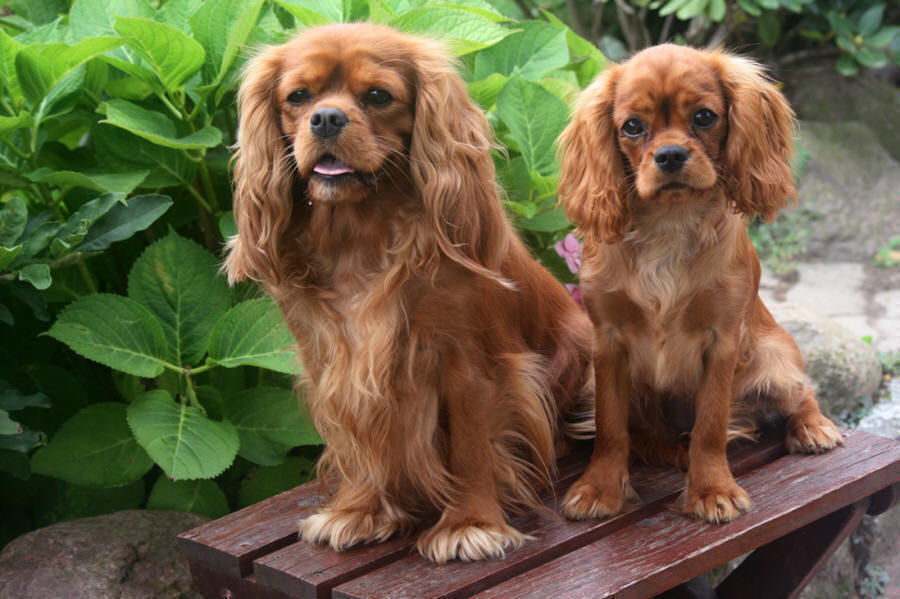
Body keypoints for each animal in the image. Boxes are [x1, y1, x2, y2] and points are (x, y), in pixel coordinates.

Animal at [224, 23, 593, 562]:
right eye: (298, 97)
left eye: (378, 96)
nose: (326, 118)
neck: (359, 237)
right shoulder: (336, 365)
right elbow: (359, 444)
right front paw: (359, 510)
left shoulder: (468, 363)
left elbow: (471, 448)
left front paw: (470, 524)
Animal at [556, 44, 843, 524]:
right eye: (632, 127)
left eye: (705, 117)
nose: (670, 154)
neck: (669, 223)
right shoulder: (607, 345)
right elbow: (611, 428)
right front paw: (600, 487)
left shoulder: (721, 342)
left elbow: (710, 424)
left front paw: (712, 490)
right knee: (646, 435)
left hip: (774, 358)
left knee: (801, 393)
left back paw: (813, 427)